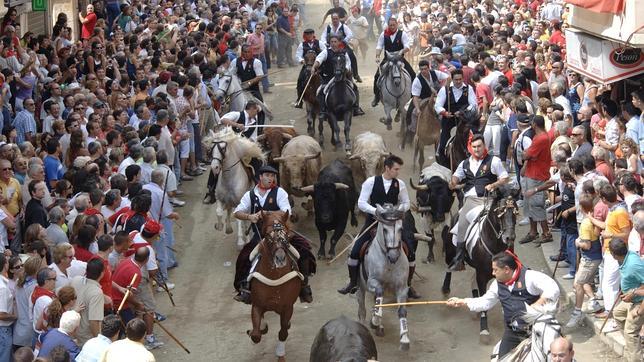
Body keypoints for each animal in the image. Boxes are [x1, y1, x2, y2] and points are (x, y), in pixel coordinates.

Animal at [249, 211, 304, 360]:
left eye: (286, 236)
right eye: (268, 236)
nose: (280, 259)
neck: (275, 278)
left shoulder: (287, 307)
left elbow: (283, 332)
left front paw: (280, 355)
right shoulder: (257, 304)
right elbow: (256, 335)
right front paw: (259, 328)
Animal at [440, 185, 520, 344]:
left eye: (515, 211)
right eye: (500, 212)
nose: (509, 237)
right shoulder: (482, 275)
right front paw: (484, 330)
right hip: (451, 251)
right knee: (449, 267)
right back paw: (446, 287)